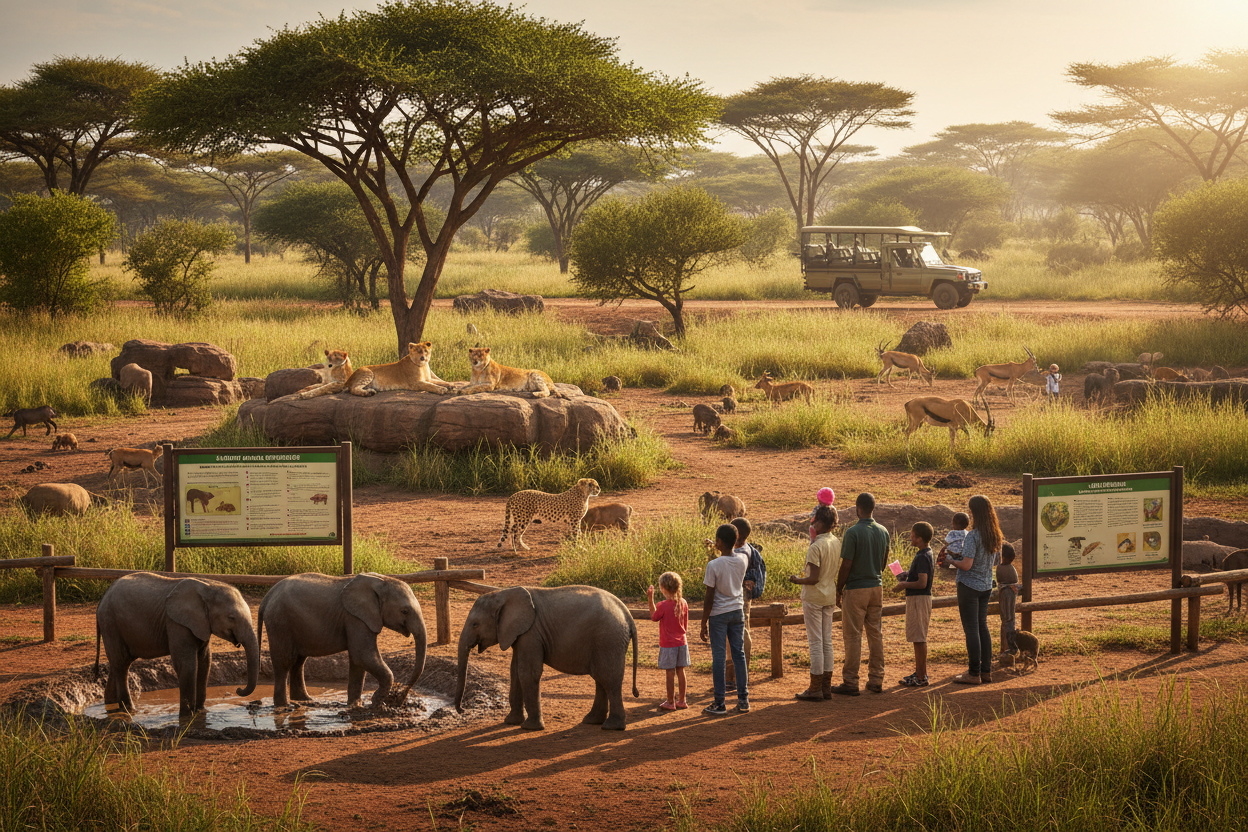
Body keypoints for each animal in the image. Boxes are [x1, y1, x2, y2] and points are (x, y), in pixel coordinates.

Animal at [94, 572, 259, 717]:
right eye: (231, 618)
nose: (238, 690)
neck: (208, 587)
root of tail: (102, 600)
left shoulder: (201, 624)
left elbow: (205, 662)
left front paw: (201, 711)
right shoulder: (176, 623)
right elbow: (187, 665)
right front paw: (187, 716)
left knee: (118, 663)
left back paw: (111, 704)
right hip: (111, 623)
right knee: (122, 664)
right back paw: (129, 710)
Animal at [258, 572, 428, 709]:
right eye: (404, 611)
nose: (399, 698)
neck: (380, 580)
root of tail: (268, 596)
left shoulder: (359, 618)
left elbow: (358, 661)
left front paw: (355, 705)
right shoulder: (355, 617)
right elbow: (362, 655)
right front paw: (376, 702)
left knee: (299, 662)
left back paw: (305, 701)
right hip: (280, 622)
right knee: (284, 662)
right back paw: (284, 706)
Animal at [454, 585, 638, 731]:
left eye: (475, 624)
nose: (463, 710)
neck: (503, 594)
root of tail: (627, 614)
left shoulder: (531, 633)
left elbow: (528, 672)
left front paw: (529, 728)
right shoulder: (520, 634)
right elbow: (515, 672)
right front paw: (510, 722)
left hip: (608, 639)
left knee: (608, 679)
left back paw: (612, 727)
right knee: (600, 678)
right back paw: (591, 721)